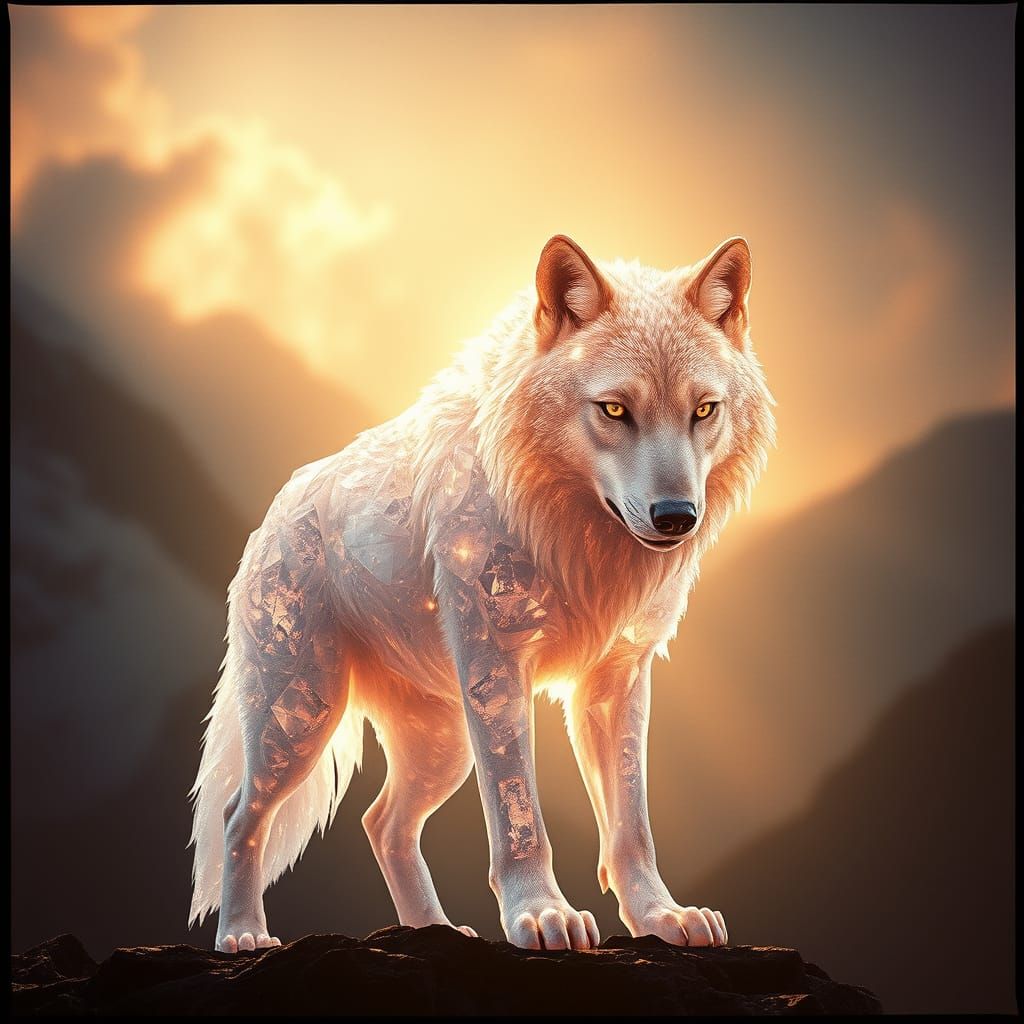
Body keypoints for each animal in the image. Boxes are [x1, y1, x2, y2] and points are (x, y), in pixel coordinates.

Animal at [189, 234, 775, 953]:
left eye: (704, 411)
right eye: (614, 409)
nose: (676, 517)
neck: (571, 539)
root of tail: (272, 513)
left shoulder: (617, 681)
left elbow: (632, 827)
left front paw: (661, 918)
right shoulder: (497, 668)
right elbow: (519, 814)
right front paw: (542, 916)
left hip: (442, 747)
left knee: (381, 823)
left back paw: (435, 931)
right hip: (301, 717)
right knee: (238, 815)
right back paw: (242, 935)